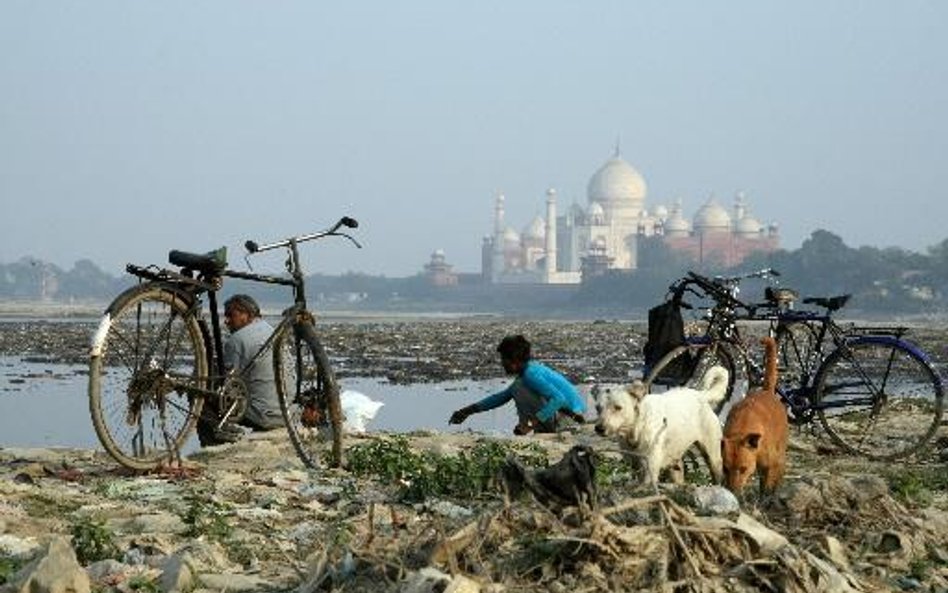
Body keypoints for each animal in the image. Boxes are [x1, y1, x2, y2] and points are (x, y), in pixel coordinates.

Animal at [596, 366, 728, 486]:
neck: (637, 426)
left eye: (618, 407)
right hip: (675, 460)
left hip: (712, 454)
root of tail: (701, 395)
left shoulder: (651, 465)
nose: (599, 429)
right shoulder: (634, 462)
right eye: (598, 408)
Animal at [724, 336, 788, 492]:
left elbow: (767, 489)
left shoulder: (771, 466)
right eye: (725, 469)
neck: (741, 429)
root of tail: (767, 391)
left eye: (743, 469)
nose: (733, 492)